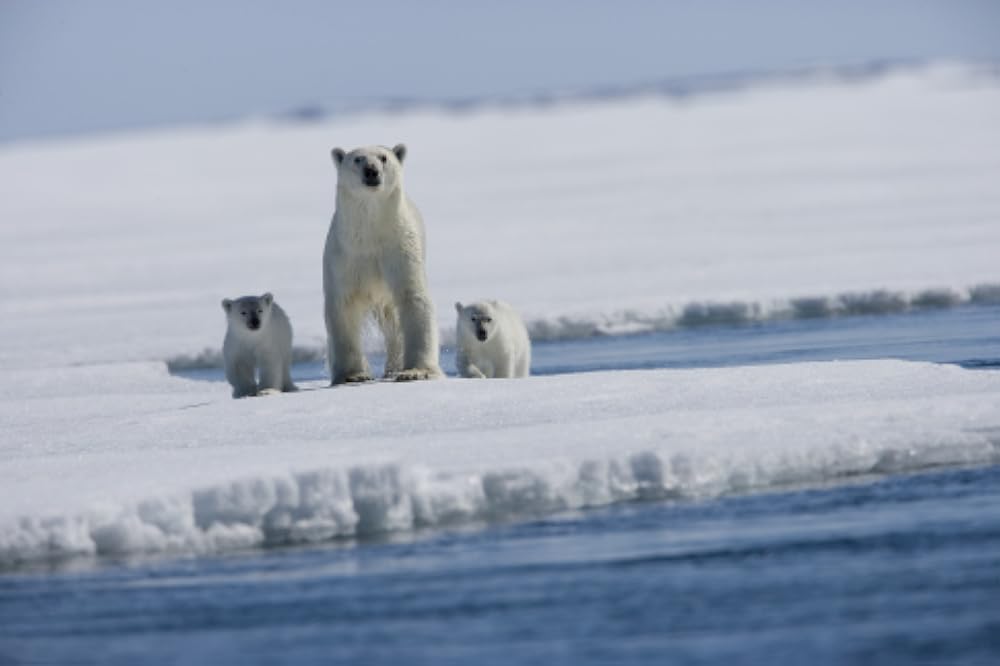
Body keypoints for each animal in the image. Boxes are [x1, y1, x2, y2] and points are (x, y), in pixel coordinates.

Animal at [322, 145, 444, 384]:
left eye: (384, 157)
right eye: (358, 159)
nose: (371, 171)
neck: (370, 234)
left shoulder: (399, 249)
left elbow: (413, 298)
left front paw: (416, 371)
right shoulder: (344, 257)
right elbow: (343, 306)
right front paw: (353, 375)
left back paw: (394, 368)